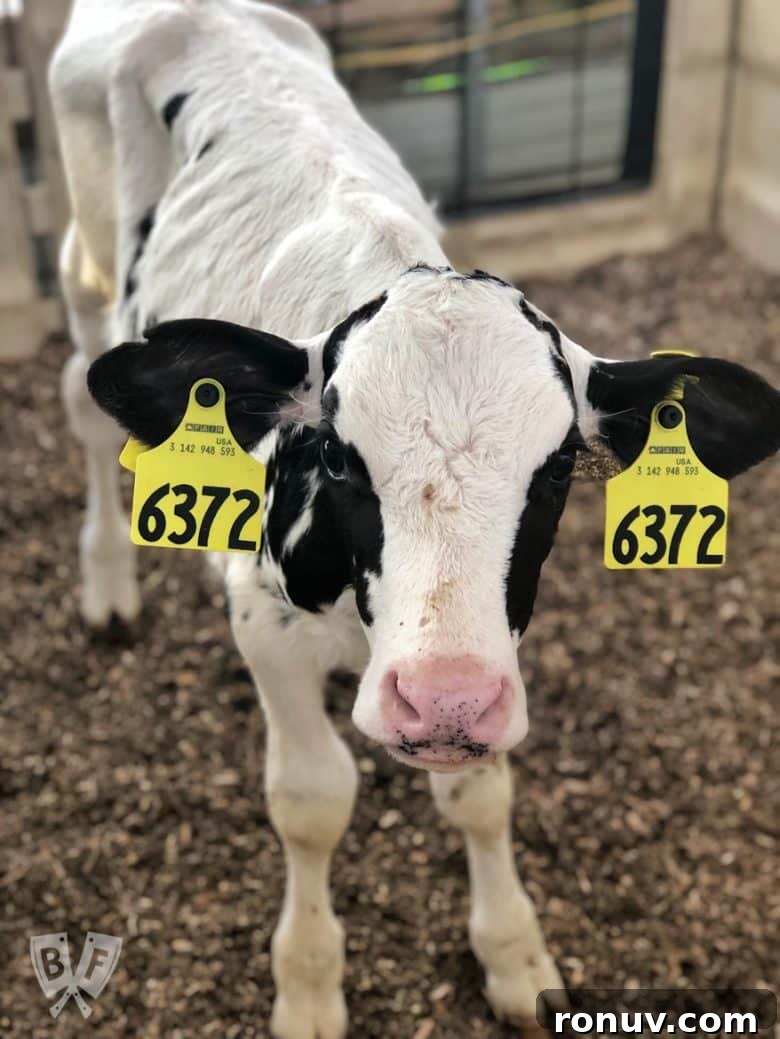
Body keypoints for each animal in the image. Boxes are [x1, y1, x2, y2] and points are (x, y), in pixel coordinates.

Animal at [50, 1, 779, 1035]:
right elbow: (312, 798)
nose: (442, 702)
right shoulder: (264, 622)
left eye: (560, 468)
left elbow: (481, 789)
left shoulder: (492, 647)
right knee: (80, 397)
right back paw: (107, 580)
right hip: (85, 266)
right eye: (334, 455)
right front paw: (309, 981)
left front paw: (513, 949)